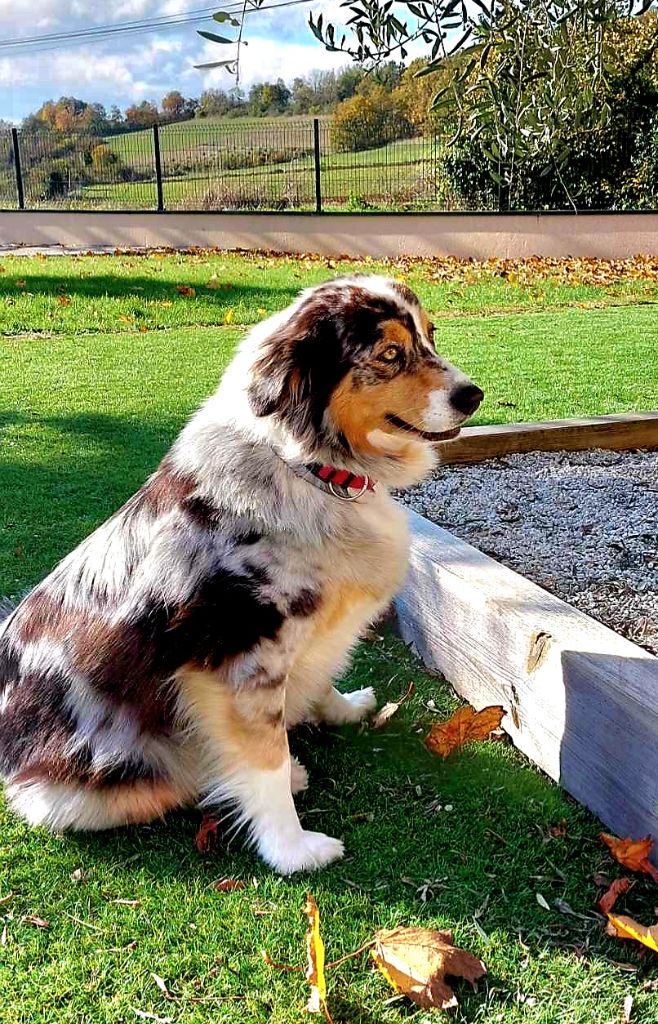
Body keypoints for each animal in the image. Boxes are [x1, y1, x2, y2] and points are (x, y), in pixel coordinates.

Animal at [0, 276, 483, 876]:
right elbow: (264, 761)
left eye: (430, 335)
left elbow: (319, 677)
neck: (311, 468)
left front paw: (345, 707)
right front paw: (293, 849)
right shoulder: (241, 663)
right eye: (391, 354)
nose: (473, 395)